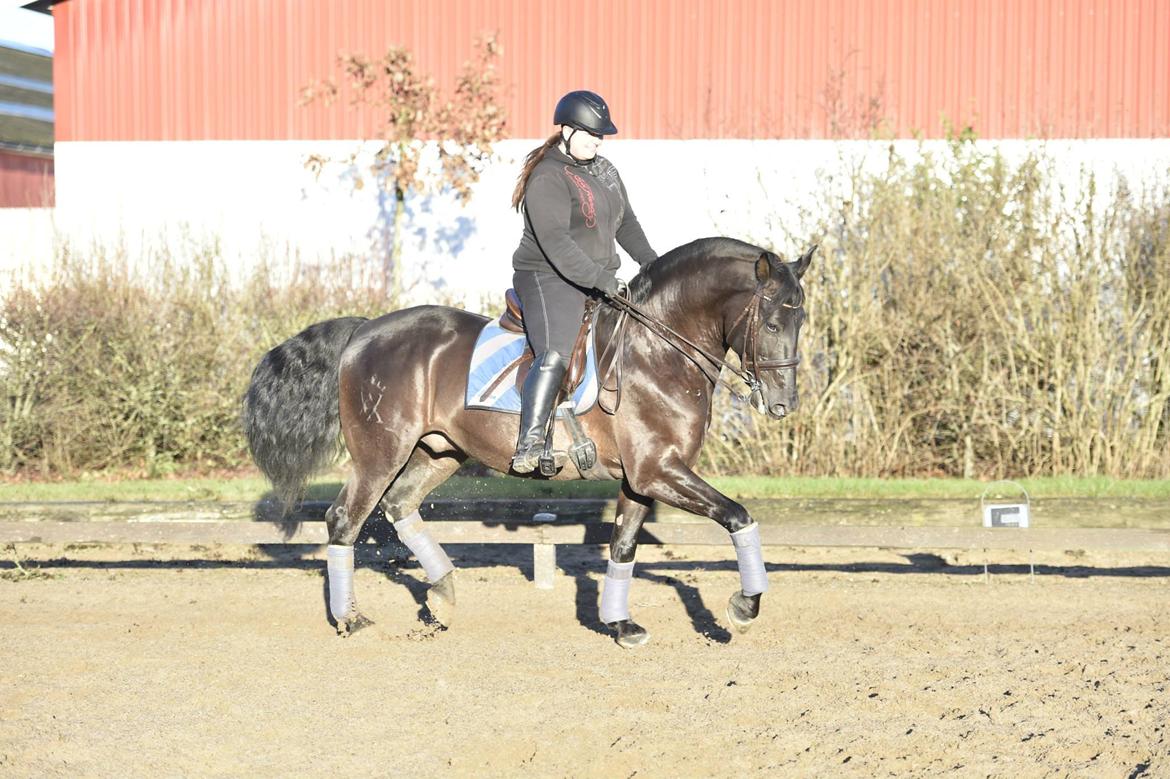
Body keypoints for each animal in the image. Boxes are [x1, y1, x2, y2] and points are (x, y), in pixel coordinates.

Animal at [244, 235, 814, 640]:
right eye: (769, 323)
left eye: (801, 319)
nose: (783, 404)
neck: (657, 351)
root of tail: (364, 331)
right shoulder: (659, 470)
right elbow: (738, 515)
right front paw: (745, 605)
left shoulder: (641, 478)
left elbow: (623, 545)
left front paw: (619, 624)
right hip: (381, 453)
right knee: (346, 518)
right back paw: (351, 618)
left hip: (439, 451)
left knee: (400, 505)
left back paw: (443, 592)